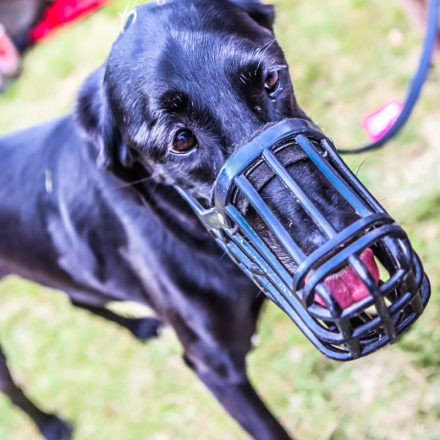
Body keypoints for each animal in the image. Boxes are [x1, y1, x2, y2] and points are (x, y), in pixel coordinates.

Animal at [0, 1, 358, 438]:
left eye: (271, 79)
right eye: (181, 140)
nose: (342, 244)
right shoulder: (216, 370)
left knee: (78, 297)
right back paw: (49, 423)